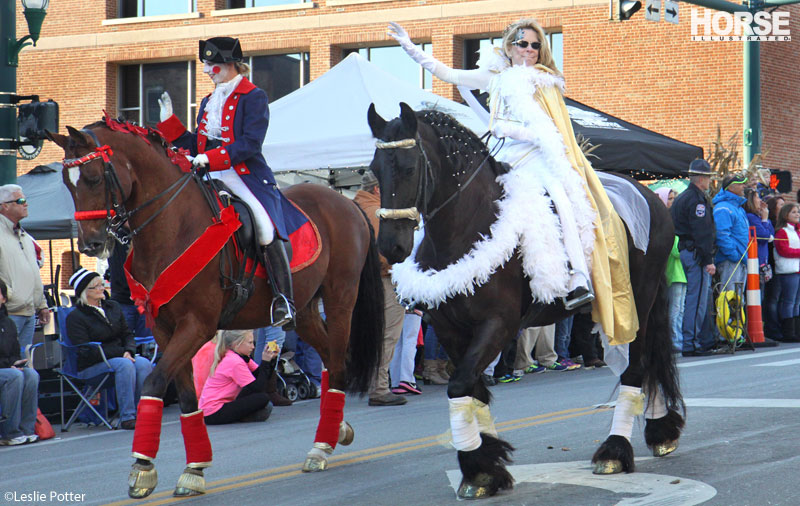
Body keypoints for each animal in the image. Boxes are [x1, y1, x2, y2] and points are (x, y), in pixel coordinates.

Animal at [47, 117, 384, 498]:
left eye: (92, 177)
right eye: (67, 182)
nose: (90, 243)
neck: (173, 227)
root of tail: (346, 203)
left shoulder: (197, 325)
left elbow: (154, 382)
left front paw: (143, 466)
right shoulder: (165, 330)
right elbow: (187, 397)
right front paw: (193, 468)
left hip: (341, 300)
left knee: (339, 361)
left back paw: (321, 446)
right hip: (307, 312)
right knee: (331, 360)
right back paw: (335, 429)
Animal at [366, 105, 684, 500]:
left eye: (409, 168)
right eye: (374, 169)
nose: (390, 247)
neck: (468, 227)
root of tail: (649, 196)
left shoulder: (498, 325)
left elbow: (460, 386)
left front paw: (478, 468)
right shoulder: (451, 330)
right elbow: (472, 390)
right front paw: (487, 464)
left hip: (634, 304)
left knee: (636, 368)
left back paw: (614, 451)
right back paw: (660, 432)